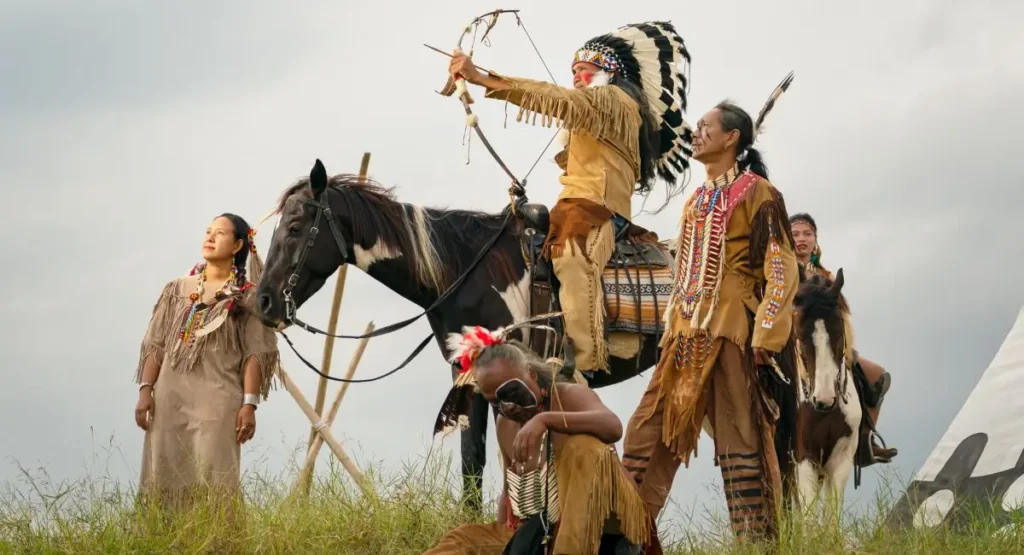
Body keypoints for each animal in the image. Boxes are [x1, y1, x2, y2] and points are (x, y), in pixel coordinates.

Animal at [790, 268, 864, 516]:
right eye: (800, 336)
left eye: (839, 332)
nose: (824, 400)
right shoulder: (804, 458)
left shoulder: (841, 460)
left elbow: (832, 516)